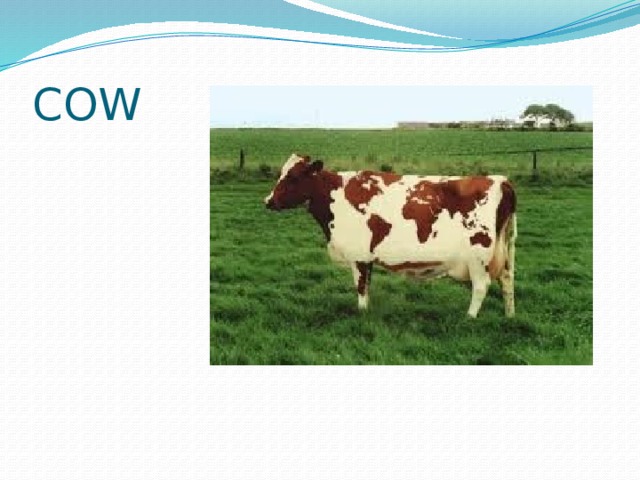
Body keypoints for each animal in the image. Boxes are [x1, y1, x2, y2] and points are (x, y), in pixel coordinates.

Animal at [265, 153, 517, 318]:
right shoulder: (367, 256)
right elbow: (367, 285)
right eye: (281, 173)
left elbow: (361, 286)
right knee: (507, 281)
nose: (268, 201)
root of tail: (500, 180)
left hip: (478, 258)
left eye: (293, 177)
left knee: (481, 286)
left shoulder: (359, 255)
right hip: (504, 253)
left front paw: (362, 312)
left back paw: (469, 318)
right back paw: (509, 315)